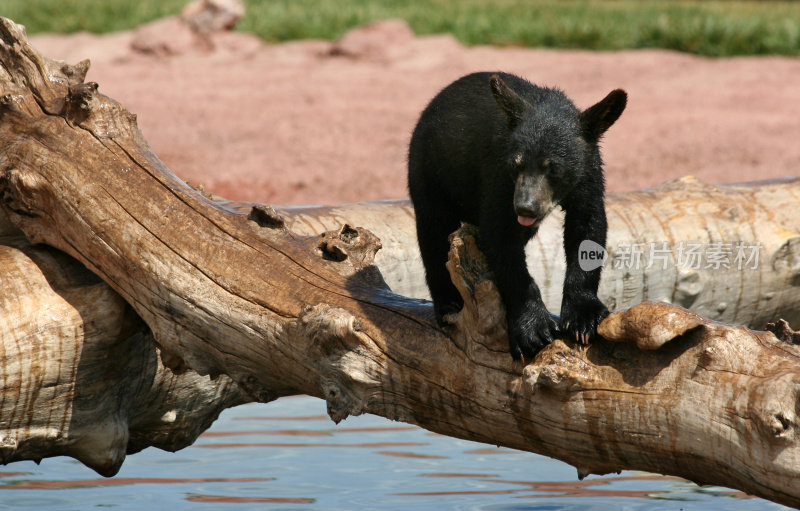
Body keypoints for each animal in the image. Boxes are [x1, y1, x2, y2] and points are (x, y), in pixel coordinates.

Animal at [410, 71, 628, 360]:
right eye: (517, 164)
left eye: (554, 168)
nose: (525, 207)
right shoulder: (499, 174)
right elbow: (500, 237)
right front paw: (532, 330)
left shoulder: (589, 172)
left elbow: (587, 227)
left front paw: (584, 318)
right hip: (429, 170)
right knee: (433, 230)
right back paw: (448, 304)